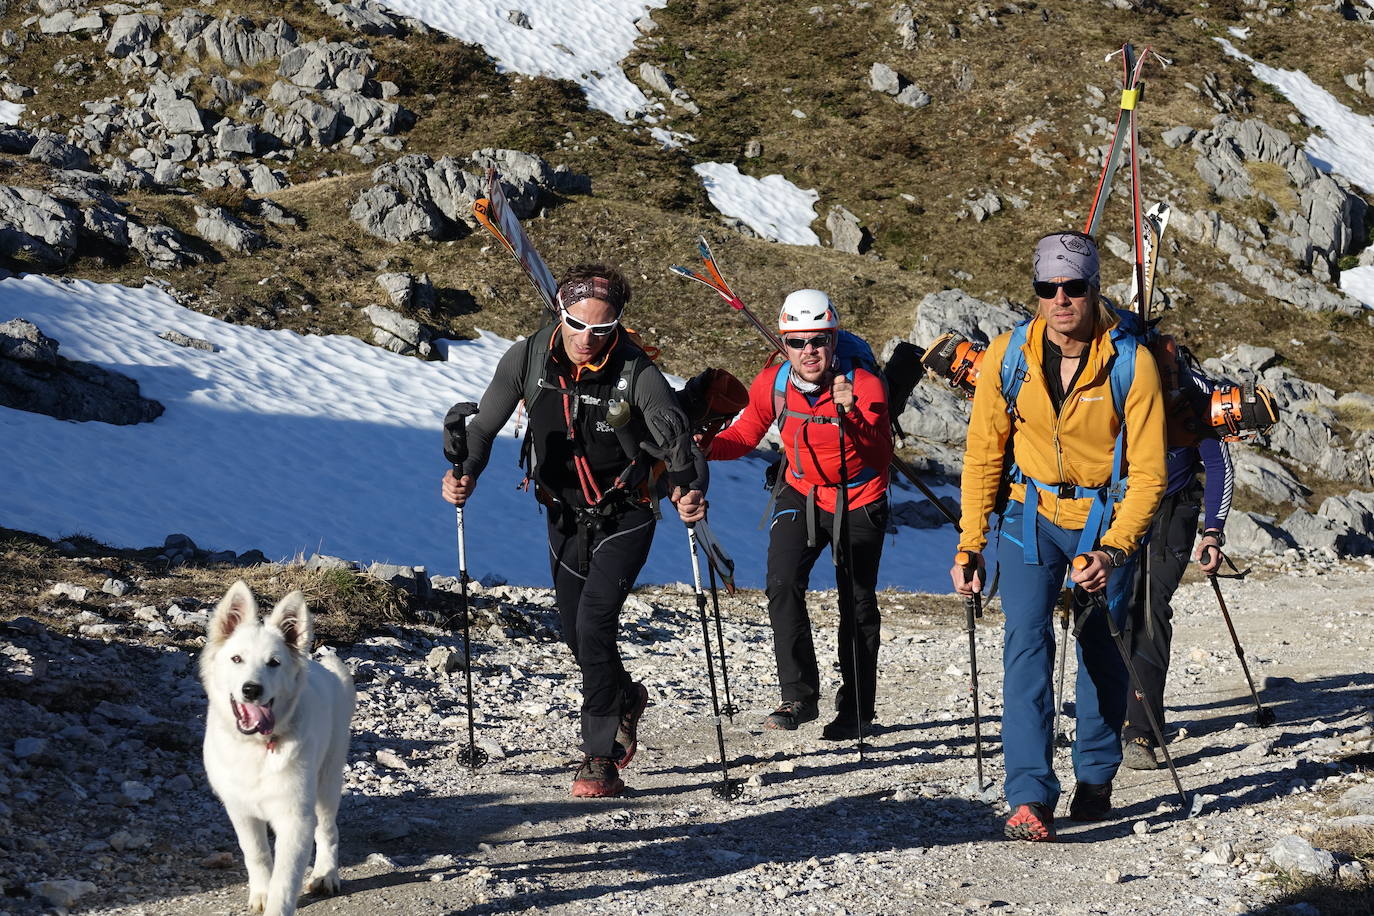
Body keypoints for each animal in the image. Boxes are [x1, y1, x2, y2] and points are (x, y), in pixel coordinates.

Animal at [201, 585, 357, 911]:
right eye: (236, 659)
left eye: (274, 663)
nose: (251, 689)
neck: (257, 746)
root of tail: (325, 669)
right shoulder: (241, 810)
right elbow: (257, 854)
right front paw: (261, 893)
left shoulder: (295, 818)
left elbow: (285, 879)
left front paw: (276, 904)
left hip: (327, 781)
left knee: (328, 830)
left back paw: (326, 874)